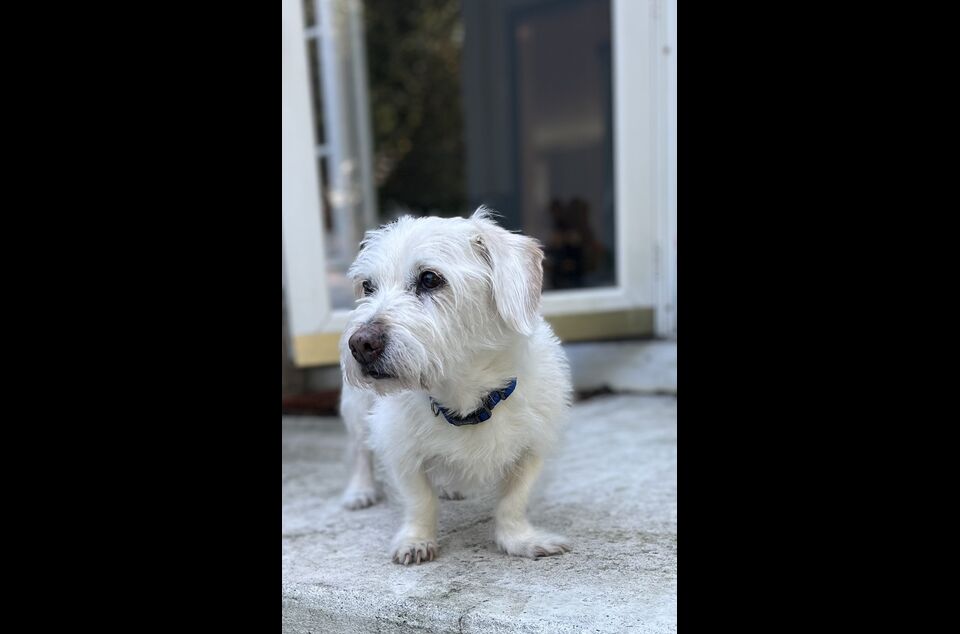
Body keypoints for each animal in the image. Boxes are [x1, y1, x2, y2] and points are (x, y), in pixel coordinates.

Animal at [338, 207, 572, 564]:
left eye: (429, 279)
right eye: (367, 286)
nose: (360, 344)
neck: (465, 399)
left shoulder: (533, 447)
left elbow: (513, 501)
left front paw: (519, 539)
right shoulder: (399, 447)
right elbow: (420, 499)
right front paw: (417, 540)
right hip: (356, 408)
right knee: (359, 451)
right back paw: (360, 490)